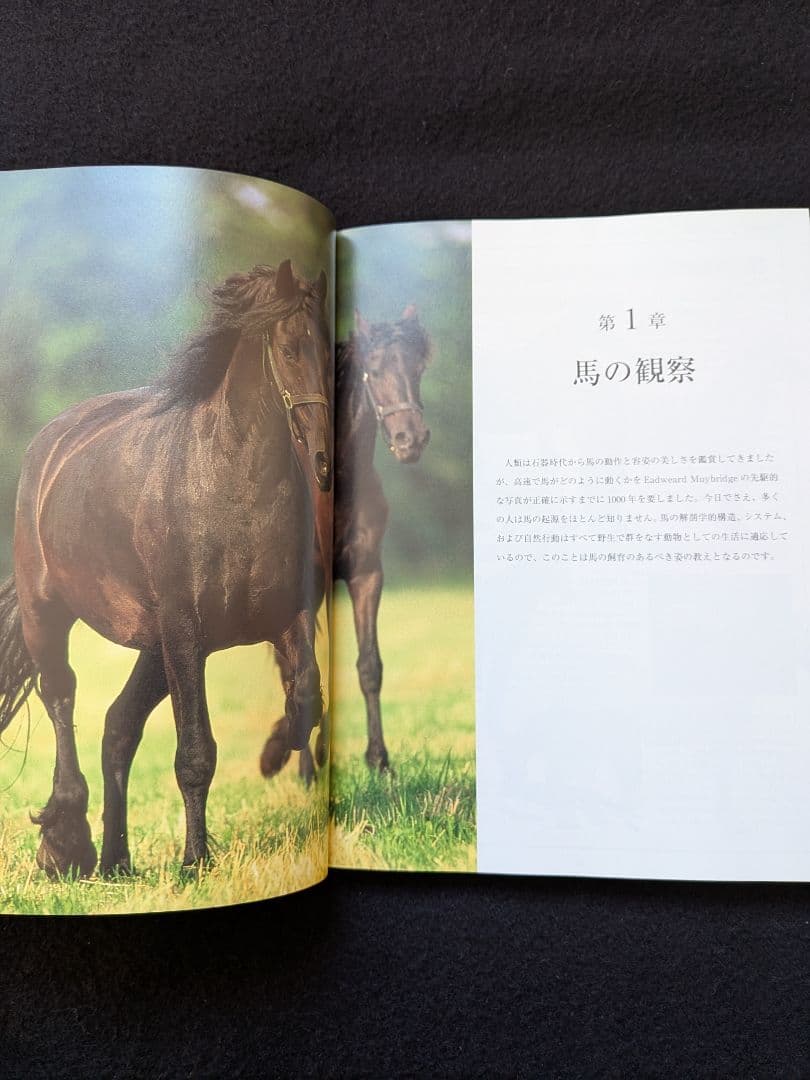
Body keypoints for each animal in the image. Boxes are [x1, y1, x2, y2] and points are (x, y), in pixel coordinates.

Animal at [0, 259, 332, 879]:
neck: (231, 487)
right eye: (291, 348)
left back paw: (116, 862)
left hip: (153, 649)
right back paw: (66, 845)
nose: (324, 462)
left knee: (117, 726)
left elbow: (306, 700)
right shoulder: (185, 633)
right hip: (48, 616)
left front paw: (275, 755)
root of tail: (49, 445)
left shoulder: (287, 617)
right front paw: (195, 862)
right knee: (61, 696)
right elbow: (195, 753)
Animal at [260, 305, 431, 783]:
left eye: (418, 368)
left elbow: (368, 665)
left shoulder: (367, 574)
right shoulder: (312, 586)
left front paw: (379, 761)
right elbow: (309, 667)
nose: (411, 440)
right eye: (374, 369)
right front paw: (309, 763)